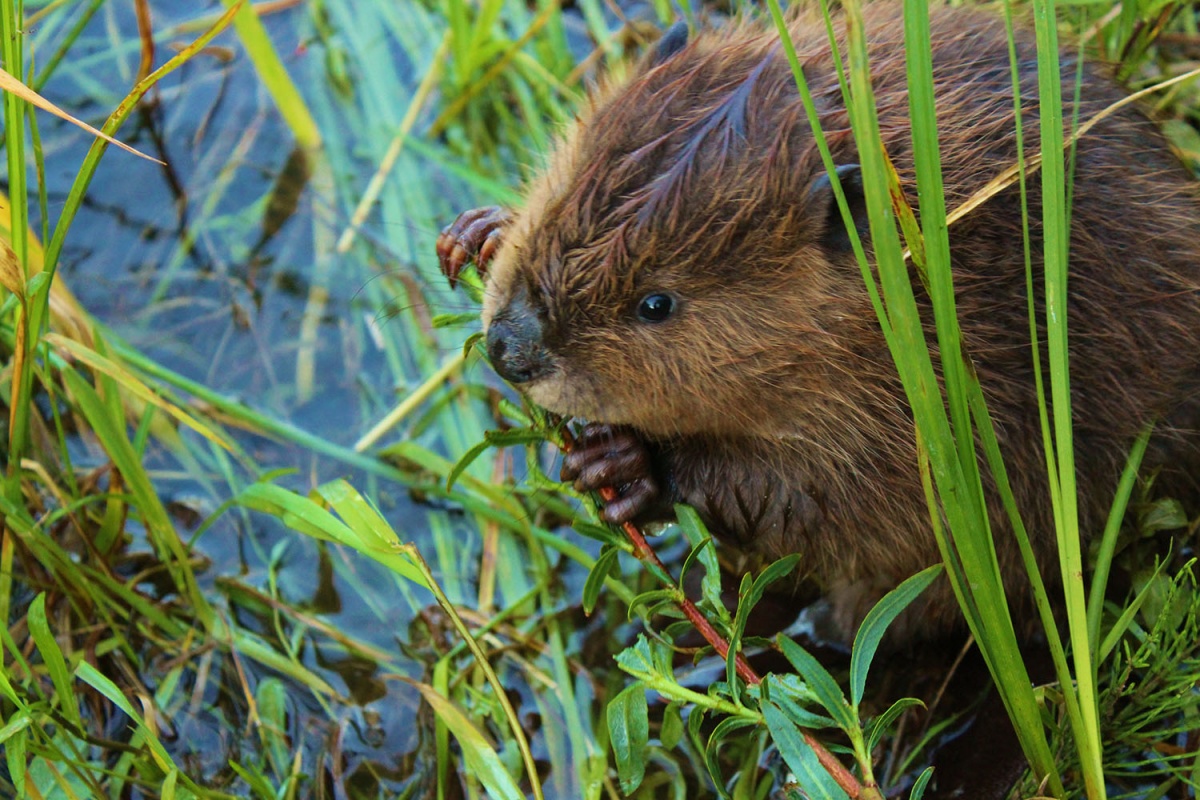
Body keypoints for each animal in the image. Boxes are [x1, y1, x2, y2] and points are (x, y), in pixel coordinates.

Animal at [436, 0, 1200, 638]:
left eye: (656, 303)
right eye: (562, 194)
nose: (510, 347)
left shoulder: (958, 392)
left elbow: (844, 501)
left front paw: (627, 462)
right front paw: (479, 233)